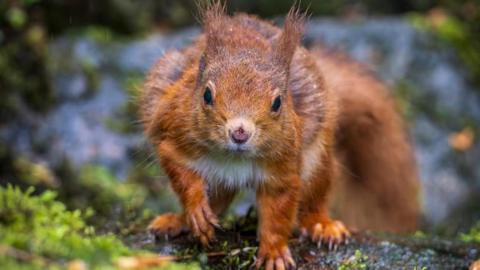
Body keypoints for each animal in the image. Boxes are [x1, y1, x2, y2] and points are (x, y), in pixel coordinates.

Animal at [141, 3, 418, 268]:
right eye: (207, 95)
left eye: (277, 103)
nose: (239, 132)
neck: (235, 157)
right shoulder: (174, 135)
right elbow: (181, 172)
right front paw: (196, 208)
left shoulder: (283, 166)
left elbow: (278, 211)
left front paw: (274, 252)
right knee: (218, 200)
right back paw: (179, 221)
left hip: (316, 158)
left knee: (314, 194)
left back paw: (321, 225)